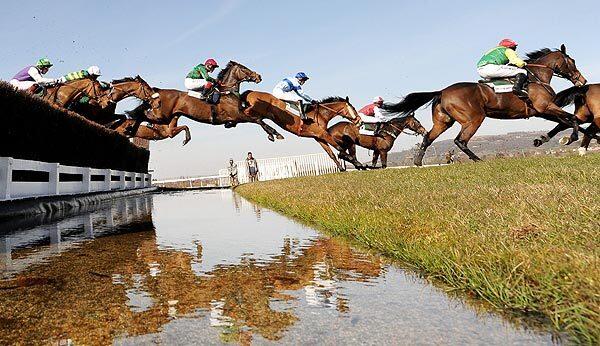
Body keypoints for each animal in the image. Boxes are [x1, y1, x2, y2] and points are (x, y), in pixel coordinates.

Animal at [146, 61, 284, 143]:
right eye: (244, 68)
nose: (258, 76)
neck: (227, 91)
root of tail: (160, 90)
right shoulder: (238, 115)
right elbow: (258, 120)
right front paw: (275, 134)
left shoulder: (236, 117)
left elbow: (253, 120)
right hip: (162, 115)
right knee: (148, 114)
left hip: (173, 117)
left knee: (169, 131)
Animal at [384, 44, 584, 166]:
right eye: (572, 61)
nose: (581, 80)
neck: (537, 77)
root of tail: (441, 91)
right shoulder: (545, 107)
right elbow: (572, 118)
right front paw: (573, 138)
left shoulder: (540, 111)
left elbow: (565, 122)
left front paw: (543, 139)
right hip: (474, 118)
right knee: (460, 140)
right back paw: (478, 160)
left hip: (443, 122)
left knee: (428, 137)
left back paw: (418, 162)